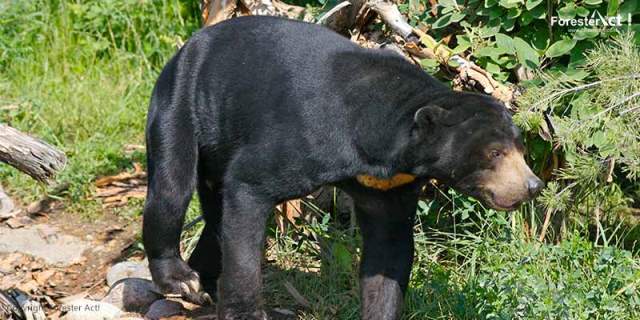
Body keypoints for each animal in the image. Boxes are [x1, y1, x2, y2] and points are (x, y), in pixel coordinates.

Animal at [142, 15, 544, 320]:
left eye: (521, 149)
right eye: (494, 153)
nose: (533, 186)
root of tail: (186, 47)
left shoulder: (391, 185)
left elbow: (388, 250)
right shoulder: (307, 137)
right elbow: (249, 186)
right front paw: (245, 311)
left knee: (214, 216)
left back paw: (204, 285)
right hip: (179, 104)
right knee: (171, 189)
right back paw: (182, 279)